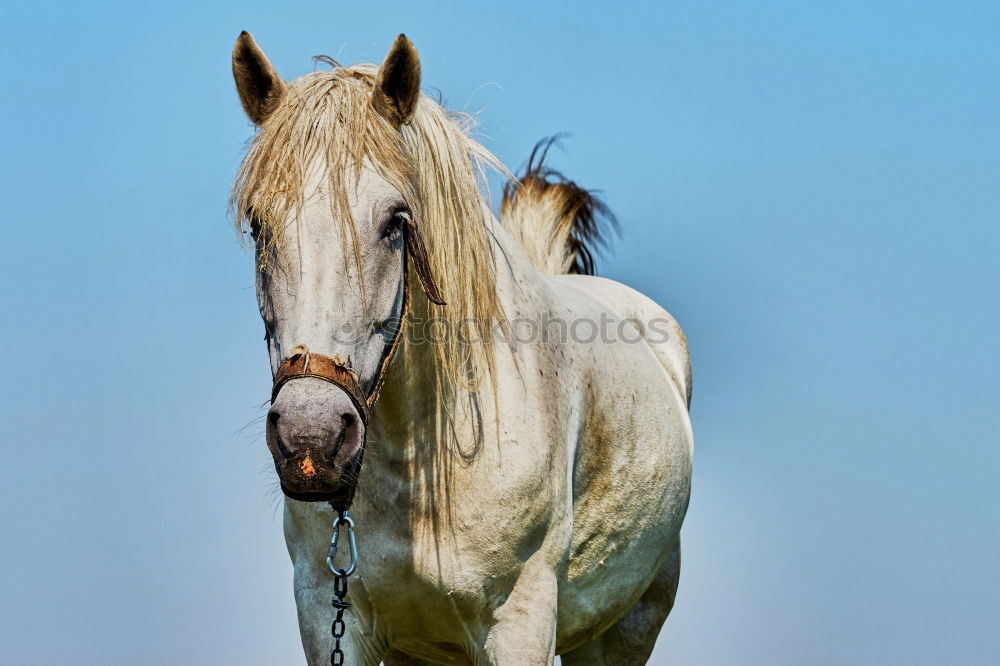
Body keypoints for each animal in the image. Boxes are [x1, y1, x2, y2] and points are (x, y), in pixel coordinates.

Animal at [230, 31, 692, 664]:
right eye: (259, 225)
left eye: (395, 222)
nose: (311, 438)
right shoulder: (330, 613)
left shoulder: (519, 621)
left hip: (625, 631)